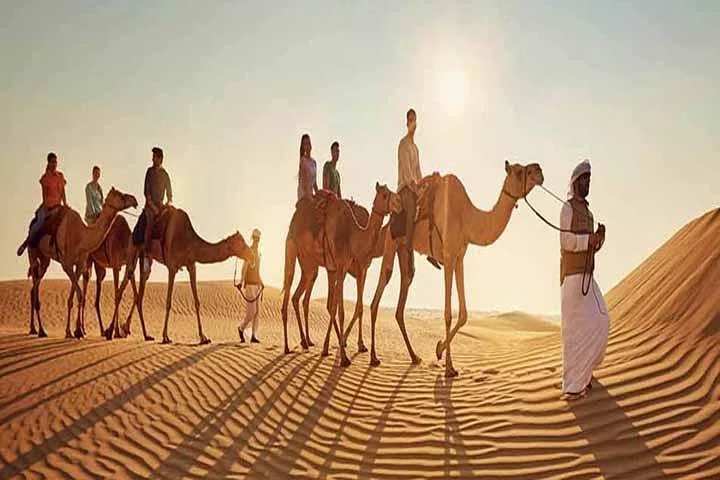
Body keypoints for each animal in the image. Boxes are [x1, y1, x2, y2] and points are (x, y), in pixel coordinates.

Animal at [26, 188, 139, 338]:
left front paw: (77, 330)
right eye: (120, 195)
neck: (82, 236)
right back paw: (39, 330)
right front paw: (73, 331)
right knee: (35, 282)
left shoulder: (79, 264)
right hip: (33, 253)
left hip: (46, 259)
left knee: (35, 287)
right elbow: (78, 295)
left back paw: (37, 329)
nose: (134, 200)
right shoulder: (67, 264)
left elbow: (77, 296)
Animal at [105, 206, 254, 344]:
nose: (251, 255)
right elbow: (168, 302)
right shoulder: (172, 267)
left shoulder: (191, 265)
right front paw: (165, 336)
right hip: (133, 250)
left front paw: (203, 337)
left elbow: (197, 301)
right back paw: (111, 332)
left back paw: (140, 333)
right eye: (241, 244)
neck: (189, 242)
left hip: (145, 259)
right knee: (122, 287)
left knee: (139, 294)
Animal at [281, 184, 397, 364]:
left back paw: (306, 341)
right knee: (289, 285)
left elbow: (351, 306)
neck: (355, 235)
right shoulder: (349, 267)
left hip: (310, 265)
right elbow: (340, 309)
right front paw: (343, 355)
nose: (398, 202)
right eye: (385, 195)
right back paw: (287, 346)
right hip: (292, 249)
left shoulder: (351, 269)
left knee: (299, 296)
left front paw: (356, 346)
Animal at [368, 161, 544, 377]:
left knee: (404, 288)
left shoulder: (460, 258)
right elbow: (448, 314)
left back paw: (414, 356)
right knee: (383, 282)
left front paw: (439, 350)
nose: (539, 170)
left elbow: (464, 314)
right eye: (519, 171)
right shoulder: (449, 257)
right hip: (391, 242)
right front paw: (449, 367)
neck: (467, 217)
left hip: (404, 249)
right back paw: (373, 357)